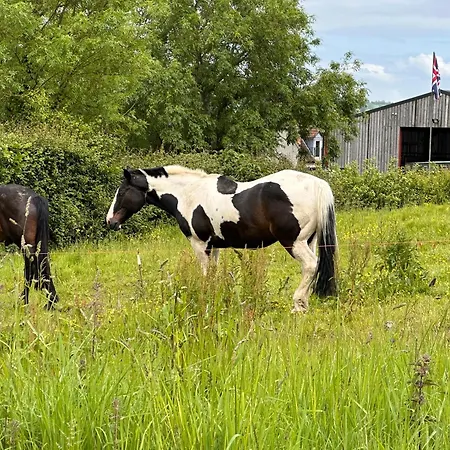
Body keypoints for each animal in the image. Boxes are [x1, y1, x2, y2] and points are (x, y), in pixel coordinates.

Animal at [106, 165, 337, 312]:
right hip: (309, 241)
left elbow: (206, 275)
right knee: (311, 268)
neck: (188, 194)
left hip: (294, 242)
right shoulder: (214, 246)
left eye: (123, 192)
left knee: (310, 265)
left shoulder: (200, 245)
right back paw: (304, 304)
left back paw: (297, 304)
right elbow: (214, 275)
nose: (110, 221)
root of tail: (318, 184)